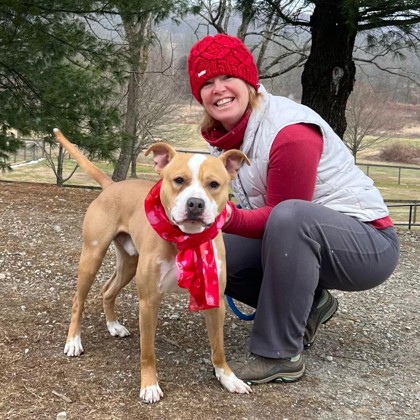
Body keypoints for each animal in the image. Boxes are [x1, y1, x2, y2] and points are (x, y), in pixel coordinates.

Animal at [52, 129, 249, 404]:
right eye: (179, 180)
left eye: (214, 184)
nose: (195, 204)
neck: (185, 239)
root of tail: (112, 185)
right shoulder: (148, 301)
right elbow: (148, 351)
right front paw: (149, 385)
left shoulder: (215, 300)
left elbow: (218, 347)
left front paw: (228, 377)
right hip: (92, 256)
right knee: (78, 300)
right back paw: (73, 341)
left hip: (128, 263)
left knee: (107, 290)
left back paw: (113, 326)